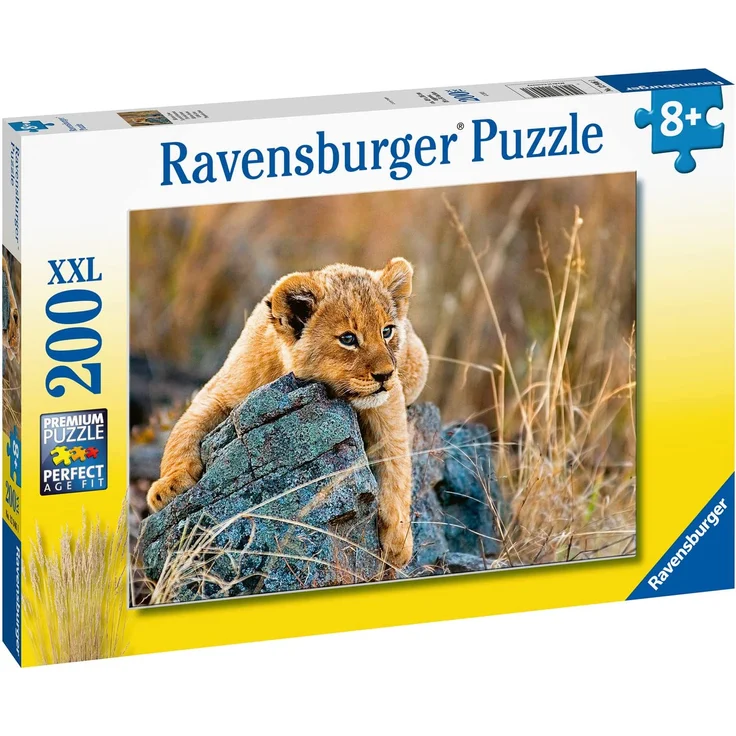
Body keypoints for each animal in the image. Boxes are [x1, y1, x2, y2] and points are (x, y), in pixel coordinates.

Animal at [147, 258, 429, 568]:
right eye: (348, 338)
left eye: (387, 331)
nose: (385, 375)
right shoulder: (219, 390)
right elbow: (183, 429)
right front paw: (168, 487)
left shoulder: (388, 401)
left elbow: (396, 460)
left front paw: (398, 540)